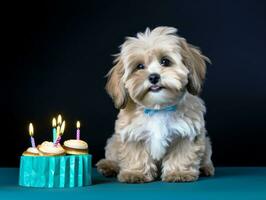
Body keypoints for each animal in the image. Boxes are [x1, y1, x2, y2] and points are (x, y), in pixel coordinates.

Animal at [96, 26, 215, 183]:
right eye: (140, 66)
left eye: (165, 61)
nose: (153, 77)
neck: (158, 108)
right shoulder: (131, 134)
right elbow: (136, 155)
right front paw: (135, 173)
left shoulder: (187, 133)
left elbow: (181, 154)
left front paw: (178, 173)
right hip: (113, 142)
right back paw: (108, 166)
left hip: (206, 143)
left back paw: (205, 167)